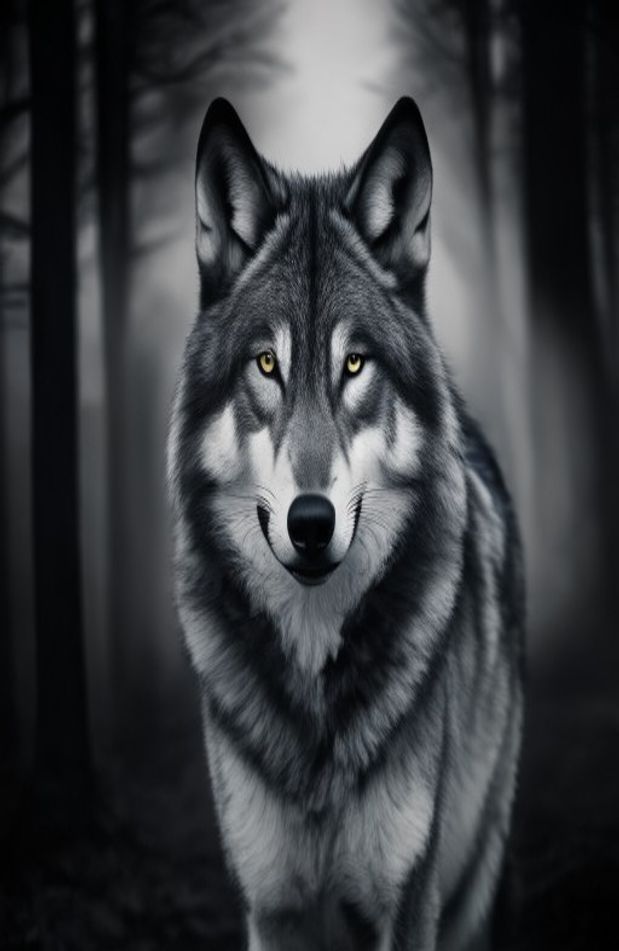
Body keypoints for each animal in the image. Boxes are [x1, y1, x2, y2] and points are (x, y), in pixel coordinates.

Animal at [167, 96, 524, 951]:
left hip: (472, 878)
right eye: (267, 364)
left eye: (354, 364)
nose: (309, 521)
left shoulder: (409, 899)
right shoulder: (273, 907)